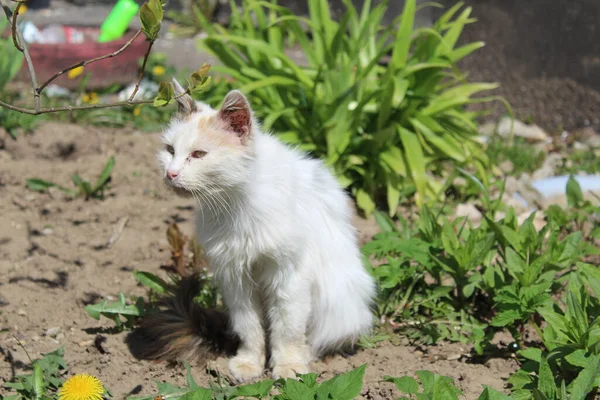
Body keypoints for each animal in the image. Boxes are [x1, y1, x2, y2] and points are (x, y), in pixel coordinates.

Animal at [139, 78, 378, 382]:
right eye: (170, 150)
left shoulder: (289, 275)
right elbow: (250, 328)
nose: (170, 174)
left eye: (198, 155)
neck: (235, 202)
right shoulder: (236, 277)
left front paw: (288, 367)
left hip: (339, 301)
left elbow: (287, 329)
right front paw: (249, 365)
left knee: (320, 336)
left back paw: (307, 355)